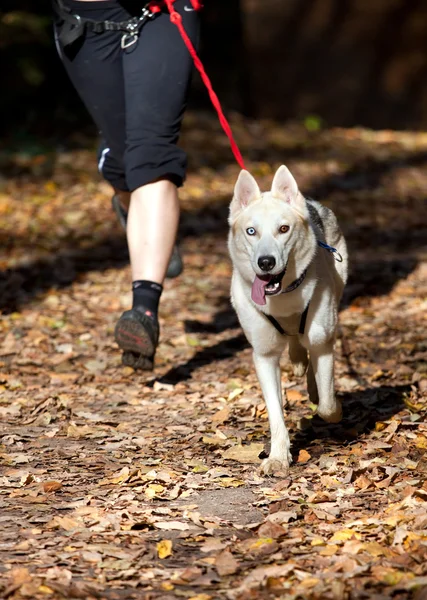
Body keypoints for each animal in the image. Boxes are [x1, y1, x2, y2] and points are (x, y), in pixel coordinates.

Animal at [227, 164, 348, 474]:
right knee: (295, 342)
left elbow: (328, 406)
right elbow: (275, 414)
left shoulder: (322, 342)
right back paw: (296, 360)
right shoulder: (264, 356)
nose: (266, 262)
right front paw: (279, 457)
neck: (283, 298)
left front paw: (330, 405)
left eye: (283, 229)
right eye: (251, 231)